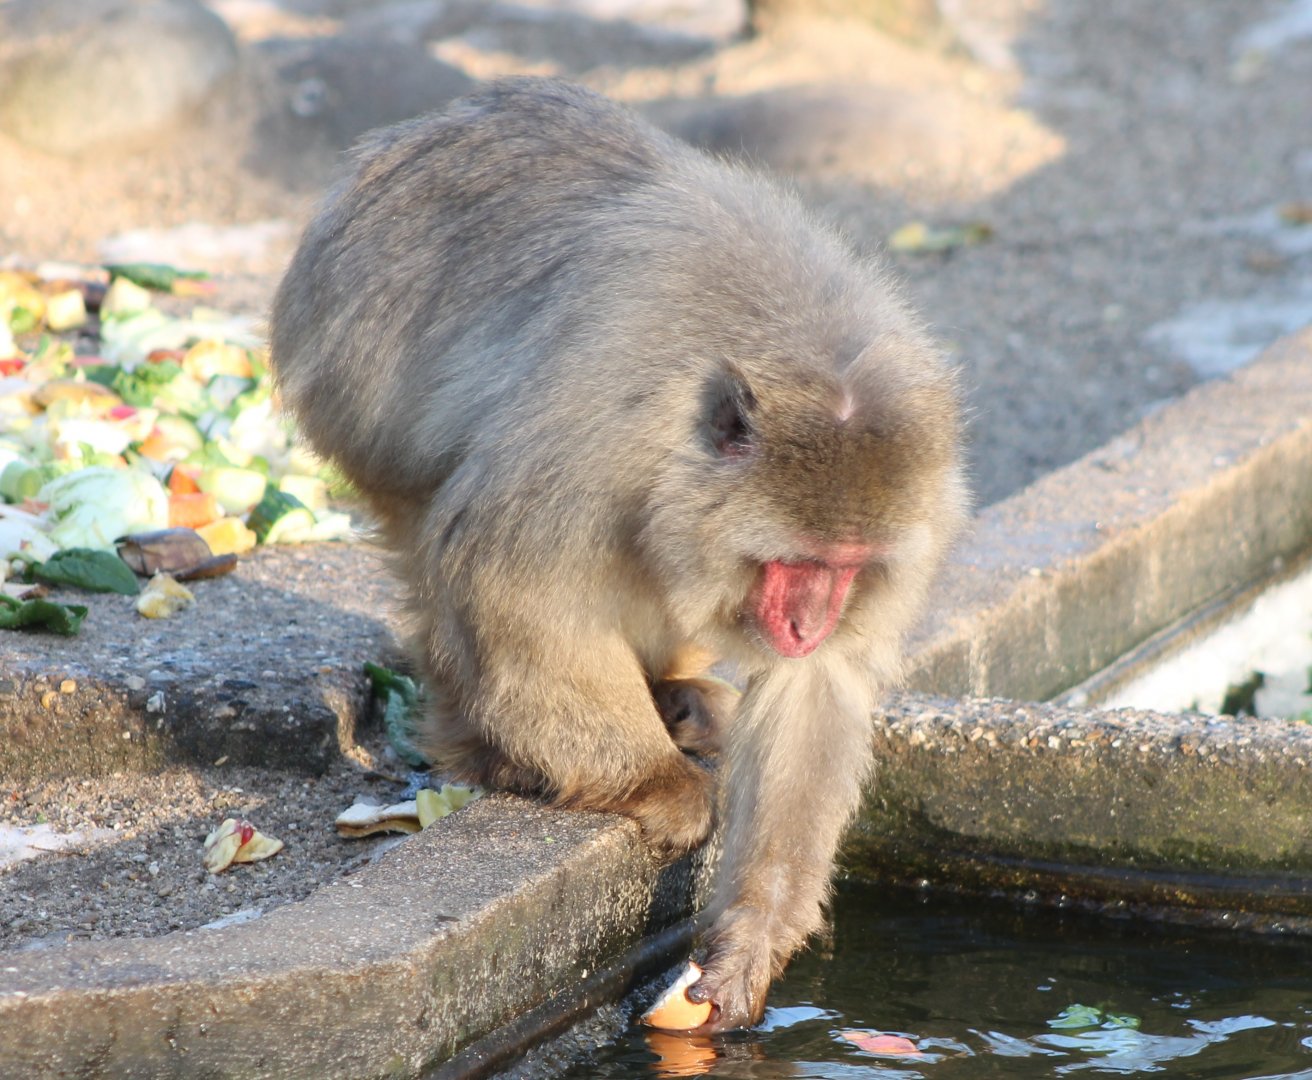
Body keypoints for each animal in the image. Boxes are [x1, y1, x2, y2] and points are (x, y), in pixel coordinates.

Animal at [269, 77, 967, 1032]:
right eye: (800, 564)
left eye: (848, 567)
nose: (808, 620)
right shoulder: (599, 427)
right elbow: (507, 573)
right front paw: (657, 787)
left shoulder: (917, 515)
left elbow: (815, 687)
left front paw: (752, 939)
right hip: (349, 373)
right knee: (437, 534)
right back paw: (501, 752)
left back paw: (679, 700)